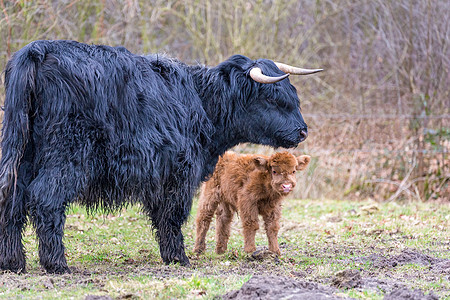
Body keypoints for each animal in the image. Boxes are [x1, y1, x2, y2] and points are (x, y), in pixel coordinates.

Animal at [1, 40, 322, 274]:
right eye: (274, 99)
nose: (302, 131)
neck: (203, 102)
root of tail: (39, 49)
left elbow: (163, 215)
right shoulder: (179, 170)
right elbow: (173, 215)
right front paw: (179, 258)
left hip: (22, 153)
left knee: (12, 199)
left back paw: (13, 263)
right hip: (67, 154)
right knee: (46, 198)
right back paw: (57, 264)